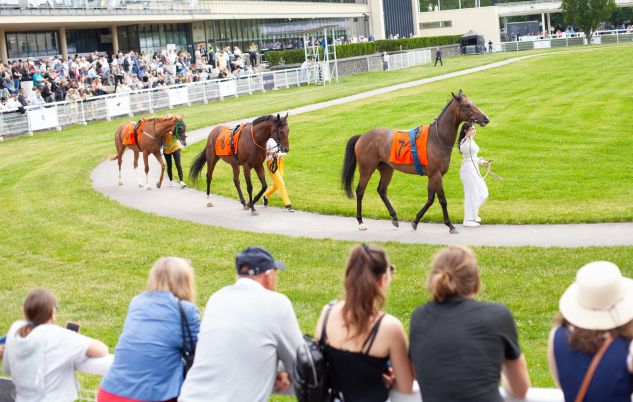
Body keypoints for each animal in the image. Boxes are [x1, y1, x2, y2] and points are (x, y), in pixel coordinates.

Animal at [340, 90, 488, 232]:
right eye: (467, 105)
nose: (486, 118)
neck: (437, 139)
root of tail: (362, 137)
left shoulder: (432, 175)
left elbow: (430, 199)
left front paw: (415, 221)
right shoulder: (435, 174)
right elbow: (442, 200)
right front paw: (450, 225)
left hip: (387, 169)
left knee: (382, 190)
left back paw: (394, 217)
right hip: (366, 169)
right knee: (360, 191)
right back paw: (360, 222)